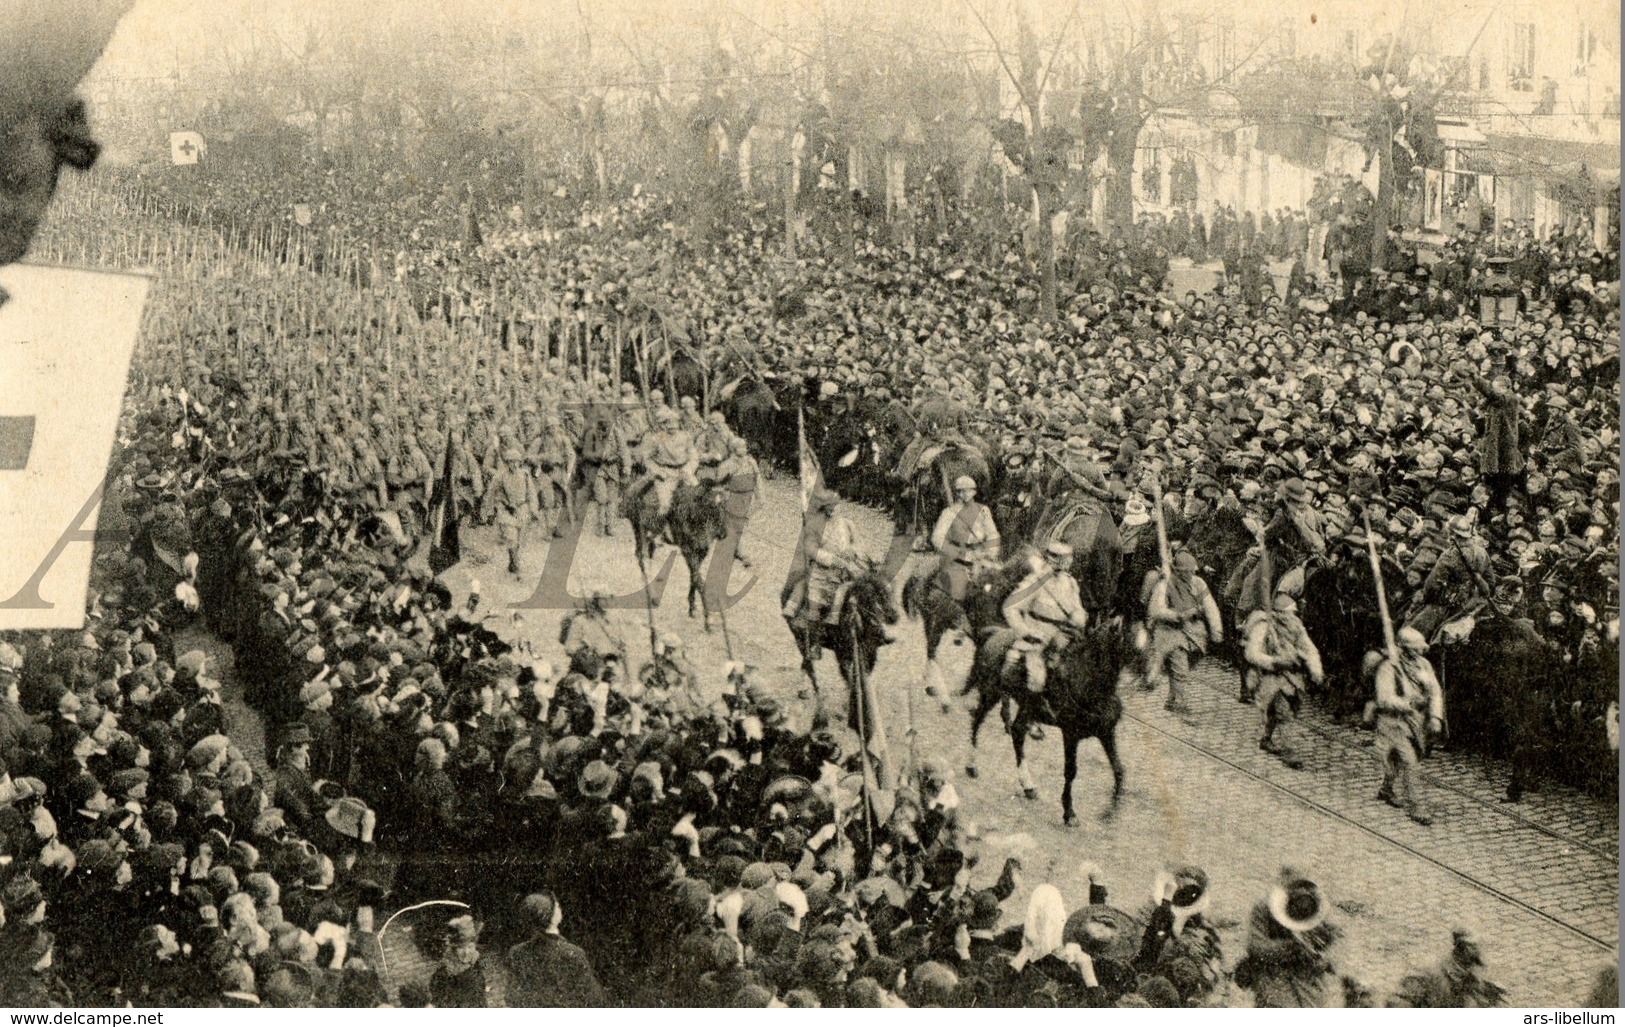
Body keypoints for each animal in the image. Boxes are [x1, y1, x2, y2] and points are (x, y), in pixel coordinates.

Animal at [620, 477, 724, 630]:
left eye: (724, 504)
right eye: (709, 505)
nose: (723, 533)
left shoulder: (700, 552)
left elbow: (694, 577)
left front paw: (692, 608)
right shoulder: (687, 549)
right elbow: (698, 580)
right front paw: (707, 619)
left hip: (652, 534)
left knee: (648, 556)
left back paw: (654, 597)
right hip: (639, 529)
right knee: (641, 558)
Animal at [776, 568, 897, 731]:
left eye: (887, 596)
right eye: (866, 599)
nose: (883, 631)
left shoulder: (869, 655)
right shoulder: (842, 656)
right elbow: (850, 680)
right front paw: (849, 711)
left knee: (806, 661)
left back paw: (804, 691)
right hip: (799, 638)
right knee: (810, 666)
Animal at [955, 617, 1124, 825]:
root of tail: (993, 634)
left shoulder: (1106, 733)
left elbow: (1118, 769)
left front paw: (1110, 812)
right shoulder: (1070, 734)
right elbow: (1071, 771)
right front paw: (1069, 814)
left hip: (1026, 706)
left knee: (1017, 732)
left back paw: (1028, 786)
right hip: (991, 693)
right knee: (977, 722)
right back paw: (971, 766)